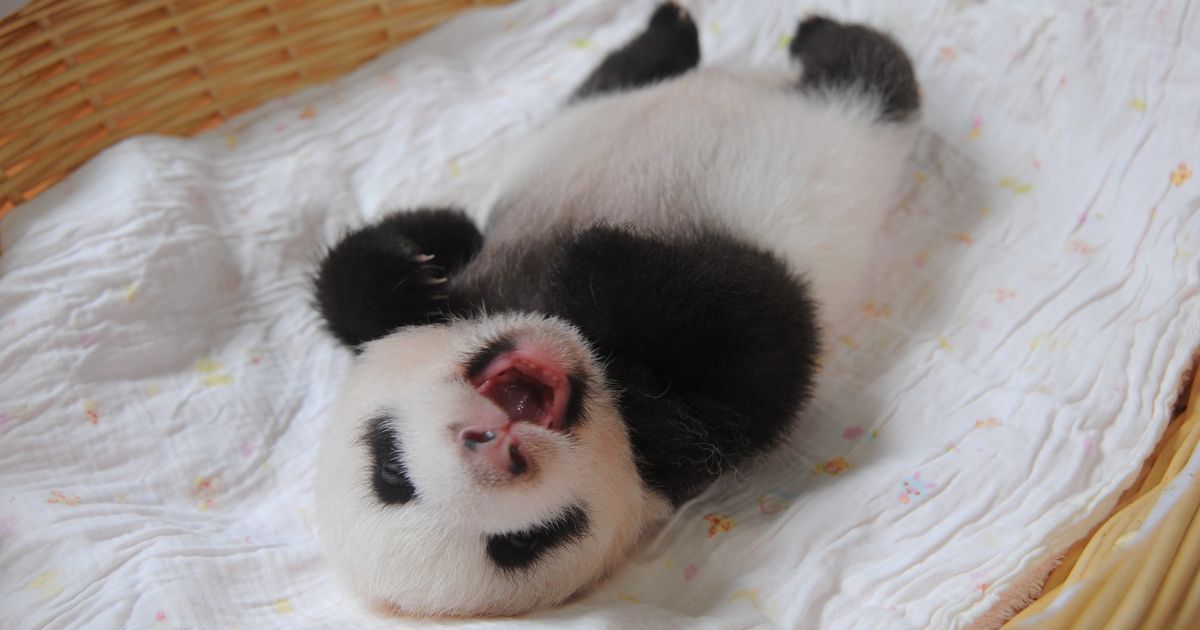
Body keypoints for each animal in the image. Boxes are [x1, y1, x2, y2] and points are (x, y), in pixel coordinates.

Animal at [312, 2, 916, 614]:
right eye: (522, 543)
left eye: (388, 468)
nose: (491, 443)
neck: (587, 350)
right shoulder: (688, 443)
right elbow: (762, 343)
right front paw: (592, 262)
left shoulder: (479, 272)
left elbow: (378, 279)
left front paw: (415, 269)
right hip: (853, 123)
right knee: (872, 75)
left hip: (593, 107)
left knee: (622, 72)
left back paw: (705, 29)